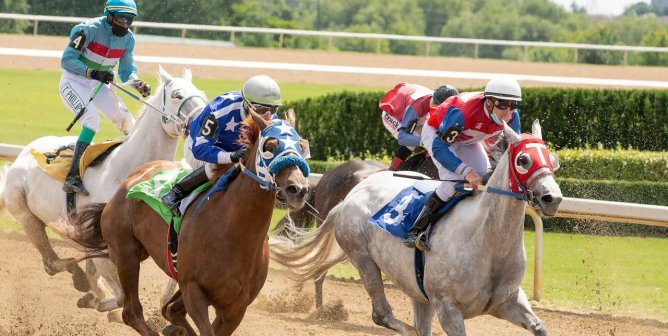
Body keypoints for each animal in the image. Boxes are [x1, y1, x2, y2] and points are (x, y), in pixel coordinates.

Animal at [0, 67, 207, 314]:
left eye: (201, 94)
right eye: (177, 95)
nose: (205, 122)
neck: (129, 169)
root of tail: (23, 154)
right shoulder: (107, 247)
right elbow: (119, 296)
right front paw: (100, 304)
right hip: (26, 214)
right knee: (51, 263)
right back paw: (78, 278)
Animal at [68, 109, 310, 334]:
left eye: (302, 146)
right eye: (270, 146)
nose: (297, 189)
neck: (234, 233)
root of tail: (130, 180)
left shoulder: (235, 308)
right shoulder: (194, 291)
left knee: (169, 310)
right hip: (127, 254)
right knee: (132, 312)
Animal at [272, 121, 564, 336]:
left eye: (553, 159)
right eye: (523, 160)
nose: (553, 198)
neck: (488, 242)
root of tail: (352, 195)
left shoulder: (508, 301)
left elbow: (540, 328)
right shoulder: (447, 307)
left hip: (417, 291)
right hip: (362, 257)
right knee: (382, 313)